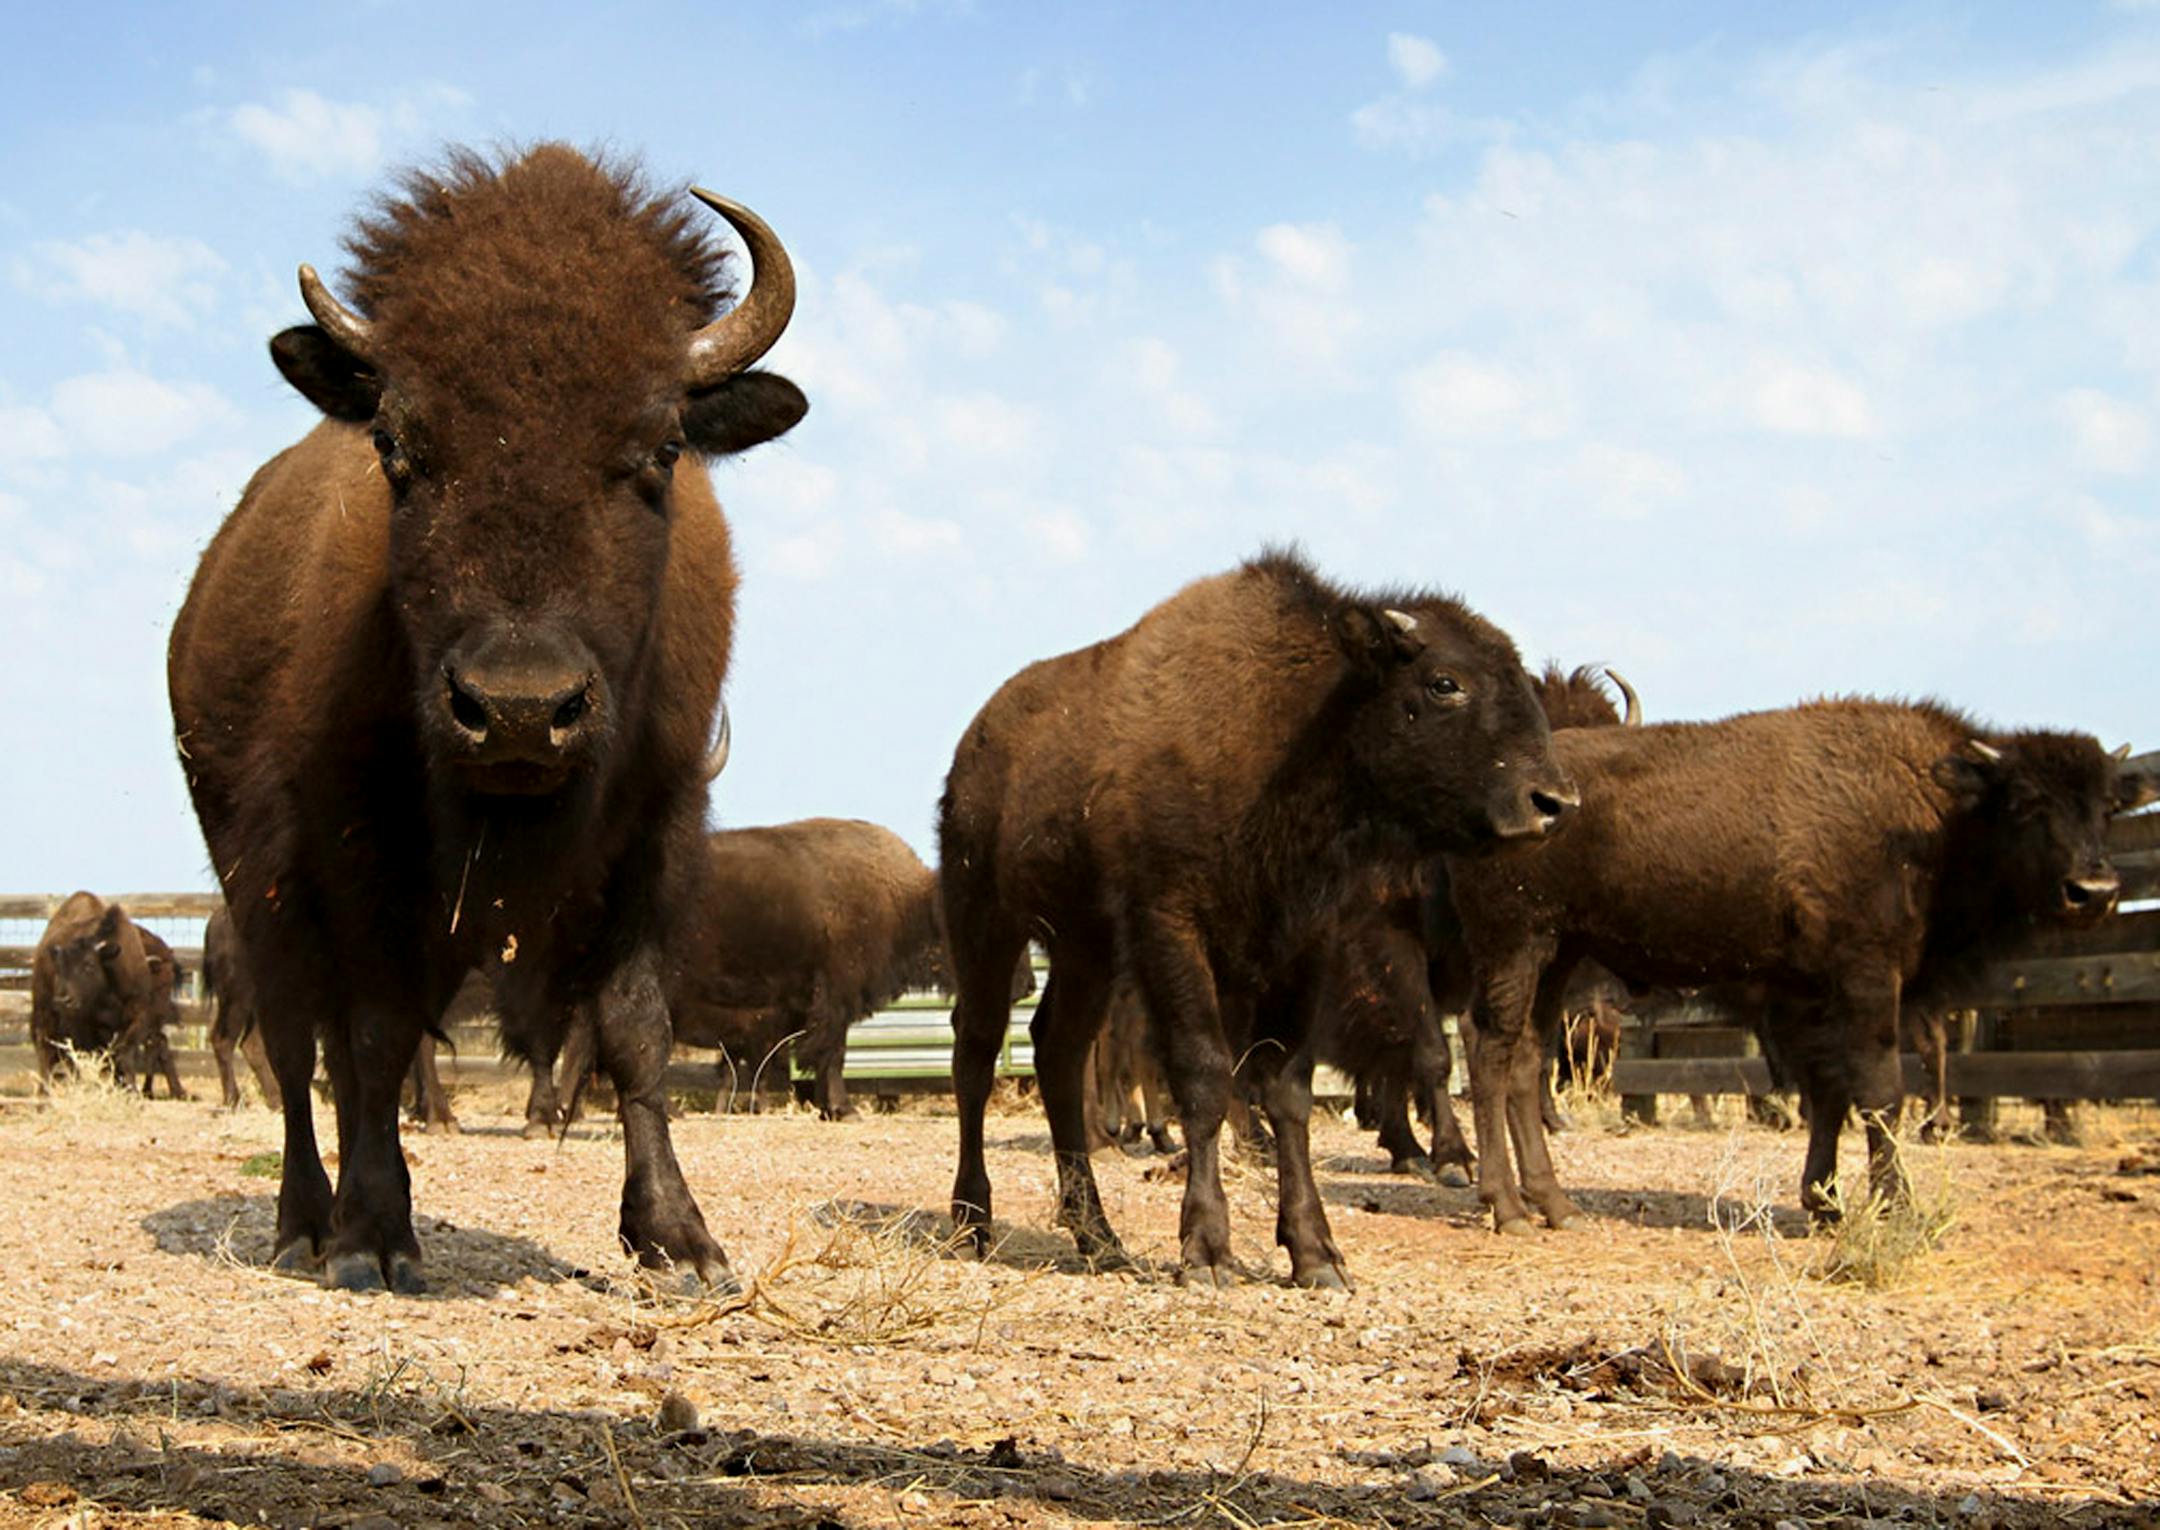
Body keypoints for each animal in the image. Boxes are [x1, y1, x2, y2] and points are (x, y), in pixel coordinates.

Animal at [29, 892, 186, 1097]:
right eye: (60, 968)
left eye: (89, 965)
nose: (63, 999)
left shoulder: (137, 1018)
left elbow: (123, 1054)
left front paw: (131, 1090)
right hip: (44, 1012)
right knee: (46, 1049)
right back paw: (44, 1091)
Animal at [166, 144, 805, 1294]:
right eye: (395, 441)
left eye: (663, 446)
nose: (517, 710)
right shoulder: (356, 855)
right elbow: (376, 1036)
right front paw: (372, 1239)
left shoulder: (657, 831)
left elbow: (633, 1029)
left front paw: (680, 1242)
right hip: (254, 892)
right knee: (295, 1051)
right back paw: (305, 1224)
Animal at [939, 549, 1575, 1288]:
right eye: (1445, 682)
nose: (1553, 802)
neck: (1297, 725)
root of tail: (974, 746)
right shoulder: (1171, 927)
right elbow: (1205, 1074)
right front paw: (1208, 1251)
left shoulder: (1305, 944)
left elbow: (1287, 1088)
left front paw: (1316, 1254)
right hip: (986, 920)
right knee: (976, 1051)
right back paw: (973, 1223)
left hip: (1084, 948)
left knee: (1057, 1051)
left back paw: (1099, 1238)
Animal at [1446, 698, 2157, 1233]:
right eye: (2027, 803)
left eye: (2106, 807)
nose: (2094, 891)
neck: (1934, 814)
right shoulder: (1867, 980)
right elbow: (1880, 1092)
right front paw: (1893, 1207)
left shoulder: (1811, 997)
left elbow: (1831, 1093)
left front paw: (1826, 1203)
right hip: (1517, 944)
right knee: (1489, 1048)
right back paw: (1507, 1208)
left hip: (1559, 953)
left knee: (1526, 1057)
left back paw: (1557, 1205)